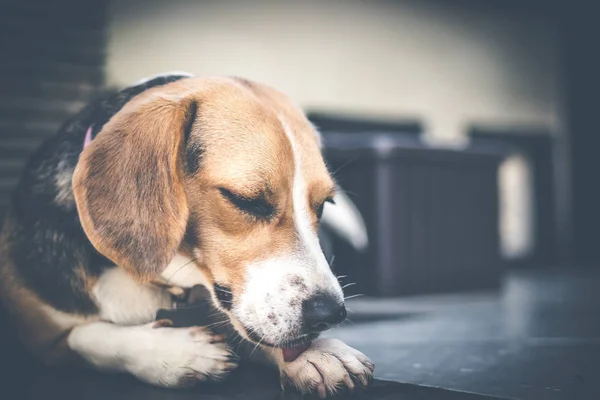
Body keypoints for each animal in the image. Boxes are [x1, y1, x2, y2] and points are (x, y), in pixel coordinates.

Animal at [0, 74, 372, 396]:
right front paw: (176, 354)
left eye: (323, 205)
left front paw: (317, 354)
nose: (330, 315)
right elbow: (90, 336)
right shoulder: (43, 340)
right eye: (245, 201)